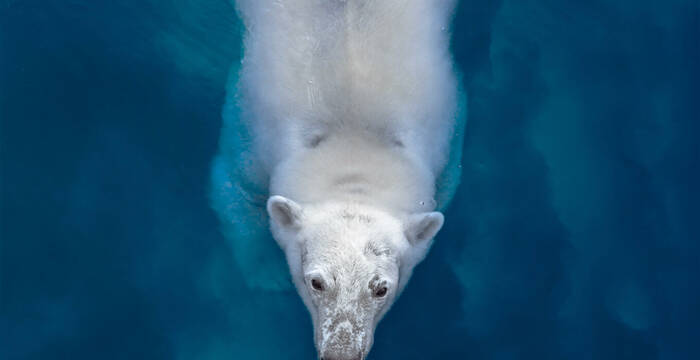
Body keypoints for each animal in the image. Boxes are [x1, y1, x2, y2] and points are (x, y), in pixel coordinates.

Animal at [211, 0, 468, 358]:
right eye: (316, 281)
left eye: (380, 288)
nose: (340, 352)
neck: (354, 136)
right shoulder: (253, 135)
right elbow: (235, 187)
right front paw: (267, 274)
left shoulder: (445, 143)